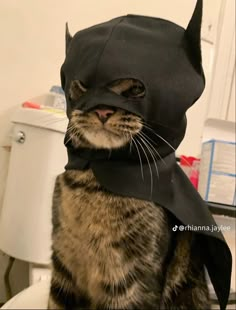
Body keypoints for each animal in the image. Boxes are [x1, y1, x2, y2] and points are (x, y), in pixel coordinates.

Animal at [48, 78, 210, 308]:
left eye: (136, 89)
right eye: (85, 85)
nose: (103, 110)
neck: (94, 187)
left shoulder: (133, 283)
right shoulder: (62, 265)